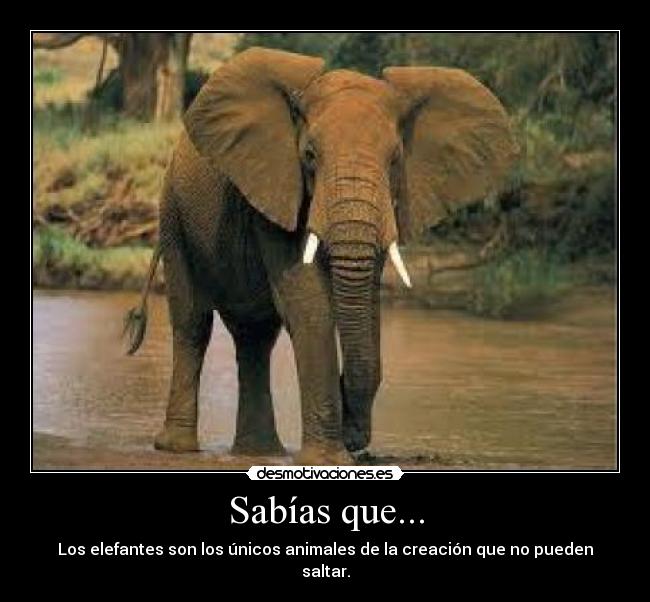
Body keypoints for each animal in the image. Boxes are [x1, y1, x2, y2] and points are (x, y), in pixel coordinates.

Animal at [124, 47, 517, 464]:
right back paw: (179, 449)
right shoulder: (279, 185)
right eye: (310, 156)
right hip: (173, 216)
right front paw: (327, 460)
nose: (357, 438)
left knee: (254, 337)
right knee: (193, 322)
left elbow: (367, 304)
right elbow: (310, 305)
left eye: (396, 159)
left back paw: (258, 452)